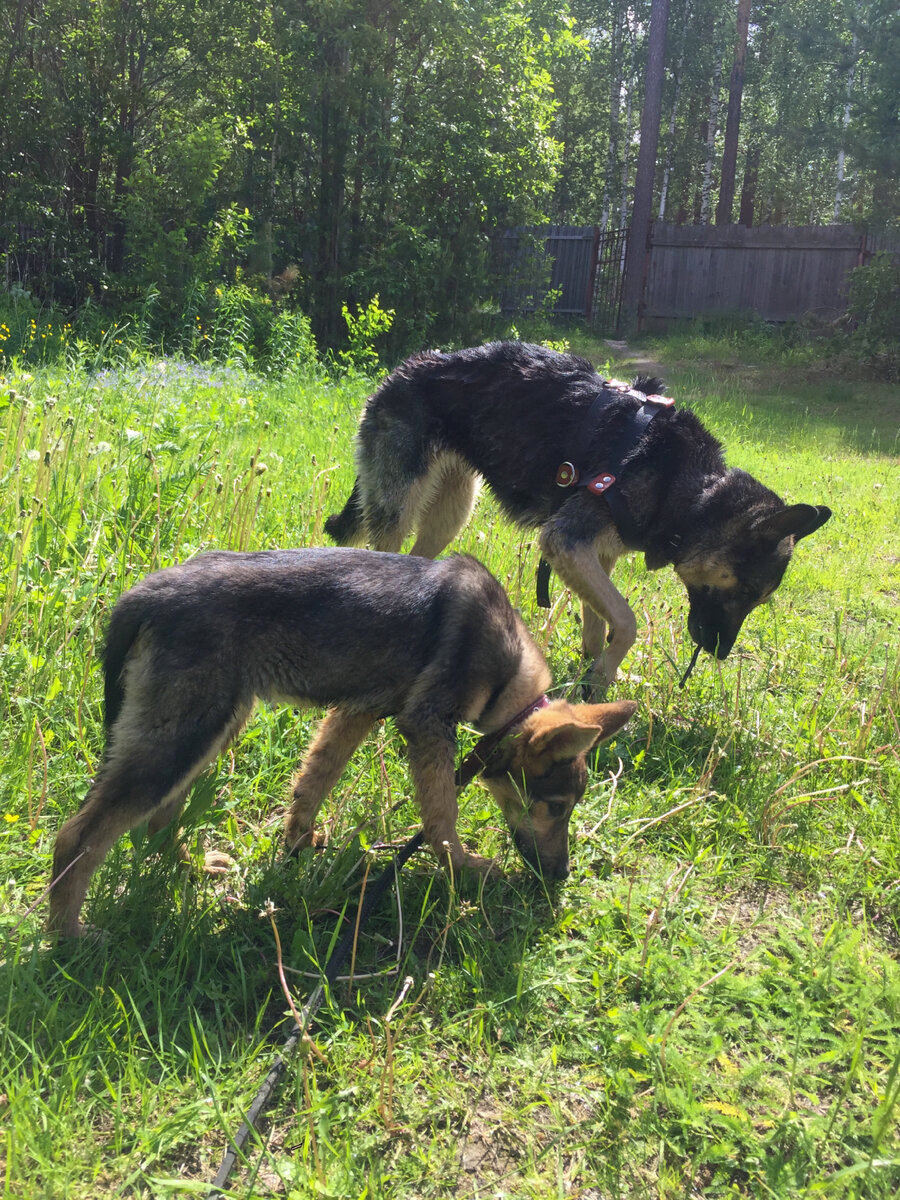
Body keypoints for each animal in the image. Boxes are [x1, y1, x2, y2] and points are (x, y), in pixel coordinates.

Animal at [49, 547, 638, 936]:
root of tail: (143, 596)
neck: (512, 682)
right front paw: (464, 868)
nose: (560, 876)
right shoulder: (426, 726)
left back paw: (189, 869)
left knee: (155, 819)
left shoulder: (354, 714)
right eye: (556, 806)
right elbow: (441, 815)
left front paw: (297, 847)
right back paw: (69, 937)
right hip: (185, 734)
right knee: (80, 835)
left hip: (209, 728)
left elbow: (313, 784)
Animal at [328, 343, 835, 691]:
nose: (720, 653)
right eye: (746, 591)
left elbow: (598, 624)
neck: (690, 489)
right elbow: (626, 621)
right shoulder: (566, 542)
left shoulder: (594, 556)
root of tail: (406, 368)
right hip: (400, 510)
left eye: (757, 599)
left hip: (452, 512)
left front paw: (597, 674)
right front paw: (604, 674)